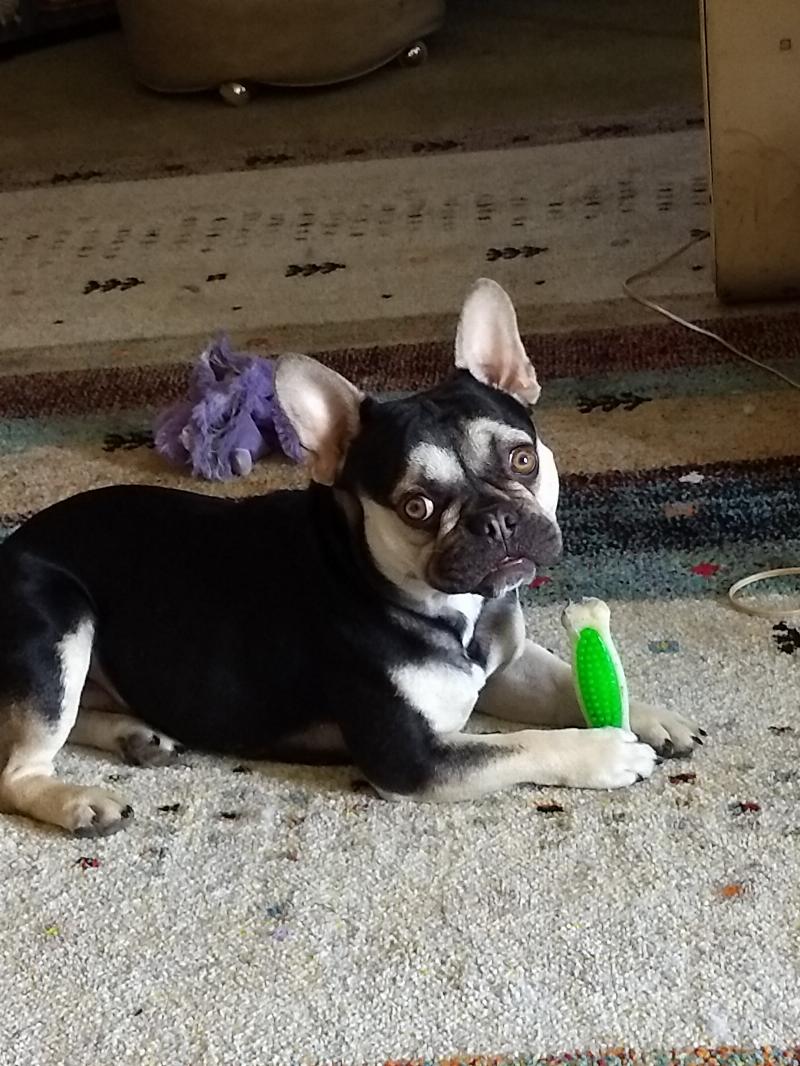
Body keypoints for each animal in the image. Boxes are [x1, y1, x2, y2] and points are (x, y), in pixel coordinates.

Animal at [0, 279, 702, 835]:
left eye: (522, 459)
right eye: (417, 506)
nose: (495, 519)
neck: (451, 609)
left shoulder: (508, 663)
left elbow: (564, 681)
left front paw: (652, 717)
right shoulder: (413, 758)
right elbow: (523, 744)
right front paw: (603, 751)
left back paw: (134, 734)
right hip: (61, 622)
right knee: (17, 769)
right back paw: (78, 800)